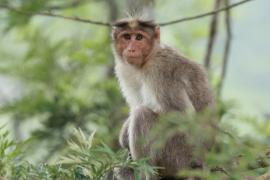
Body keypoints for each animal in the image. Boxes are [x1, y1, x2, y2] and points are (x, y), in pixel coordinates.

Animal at [110, 17, 214, 180]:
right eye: (127, 37)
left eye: (139, 37)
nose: (131, 49)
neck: (147, 60)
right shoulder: (124, 70)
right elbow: (136, 104)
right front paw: (124, 135)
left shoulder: (161, 70)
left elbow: (180, 116)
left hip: (177, 157)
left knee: (142, 115)